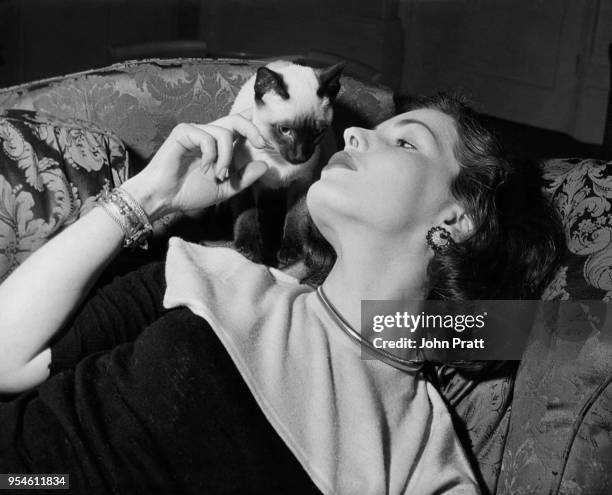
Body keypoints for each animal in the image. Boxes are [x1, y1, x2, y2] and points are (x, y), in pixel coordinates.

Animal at [224, 60, 344, 268]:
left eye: (317, 132)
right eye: (285, 130)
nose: (300, 156)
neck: (278, 162)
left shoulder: (302, 184)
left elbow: (295, 218)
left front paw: (290, 252)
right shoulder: (245, 181)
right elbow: (247, 215)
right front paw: (249, 251)